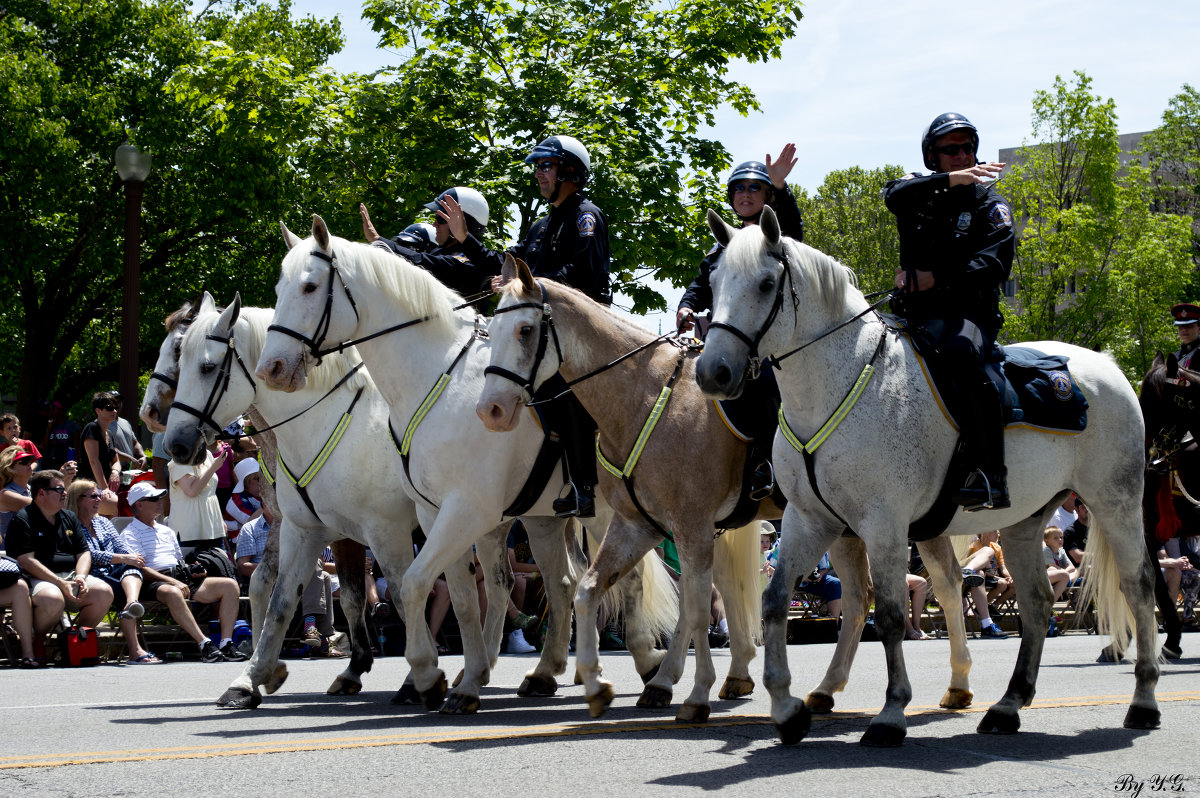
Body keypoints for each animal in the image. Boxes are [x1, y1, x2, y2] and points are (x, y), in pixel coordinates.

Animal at [256, 214, 681, 710]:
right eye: (279, 288)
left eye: (308, 286)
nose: (272, 368)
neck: (433, 379)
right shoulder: (432, 514)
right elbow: (456, 597)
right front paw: (466, 678)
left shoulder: (460, 512)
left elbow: (413, 583)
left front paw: (426, 675)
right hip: (543, 519)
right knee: (563, 583)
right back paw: (549, 671)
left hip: (607, 513)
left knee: (629, 580)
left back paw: (647, 664)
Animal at [700, 208, 1156, 744]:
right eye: (713, 280)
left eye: (767, 283)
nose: (712, 372)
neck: (837, 384)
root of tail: (1105, 363)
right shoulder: (811, 520)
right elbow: (774, 601)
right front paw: (786, 708)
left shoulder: (884, 525)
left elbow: (890, 615)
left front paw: (891, 712)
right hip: (1025, 522)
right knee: (1038, 603)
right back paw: (1008, 705)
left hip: (1115, 502)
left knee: (1138, 586)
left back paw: (1143, 701)